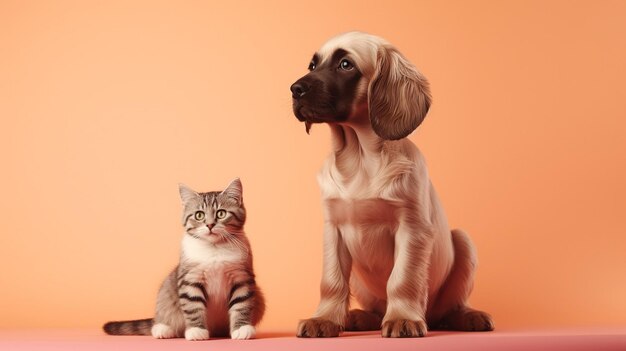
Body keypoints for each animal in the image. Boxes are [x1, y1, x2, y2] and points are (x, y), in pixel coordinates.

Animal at [102, 179, 264, 340]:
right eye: (199, 215)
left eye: (221, 213)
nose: (210, 225)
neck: (214, 248)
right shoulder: (190, 279)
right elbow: (193, 306)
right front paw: (196, 330)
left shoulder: (242, 277)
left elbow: (242, 304)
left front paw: (242, 328)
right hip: (166, 293)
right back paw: (163, 328)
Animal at [288, 32, 492, 338]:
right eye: (312, 65)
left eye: (345, 64)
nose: (294, 89)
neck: (359, 159)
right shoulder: (333, 229)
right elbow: (332, 281)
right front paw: (324, 319)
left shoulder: (412, 228)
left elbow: (402, 278)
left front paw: (403, 318)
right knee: (375, 307)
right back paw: (359, 317)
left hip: (463, 242)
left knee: (452, 307)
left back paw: (468, 317)